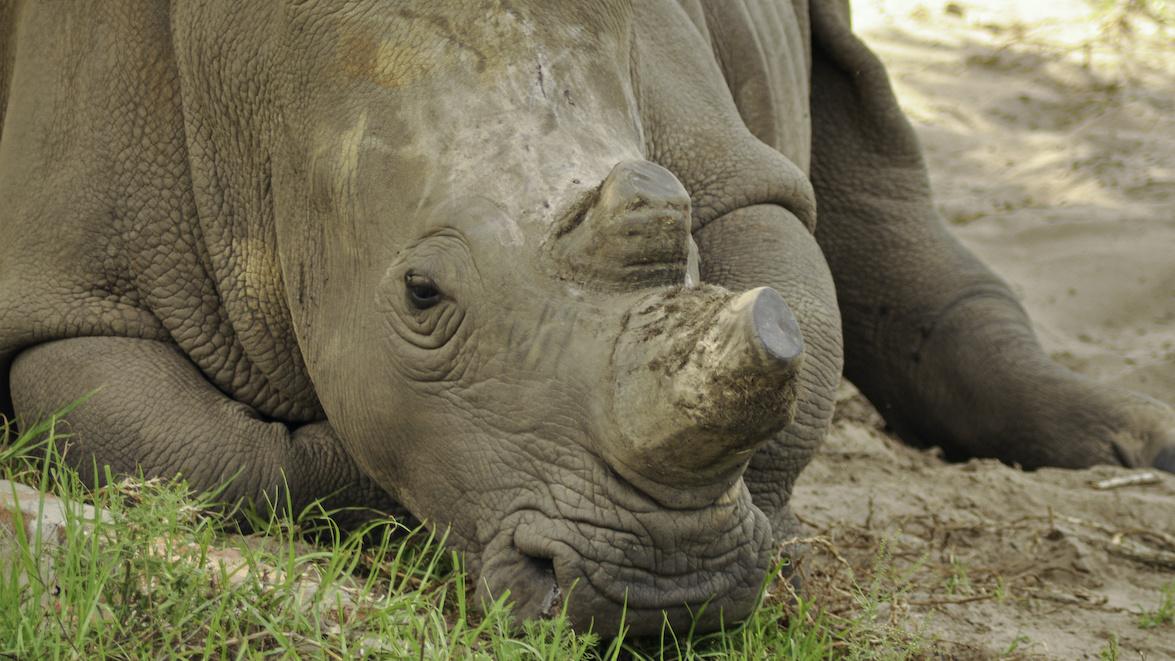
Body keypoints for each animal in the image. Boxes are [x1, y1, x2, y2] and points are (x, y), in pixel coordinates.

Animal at [1, 0, 1172, 635]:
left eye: (681, 234)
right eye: (420, 296)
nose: (660, 593)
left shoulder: (730, 171)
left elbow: (792, 298)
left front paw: (772, 542)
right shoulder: (70, 291)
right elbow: (183, 448)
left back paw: (1131, 447)